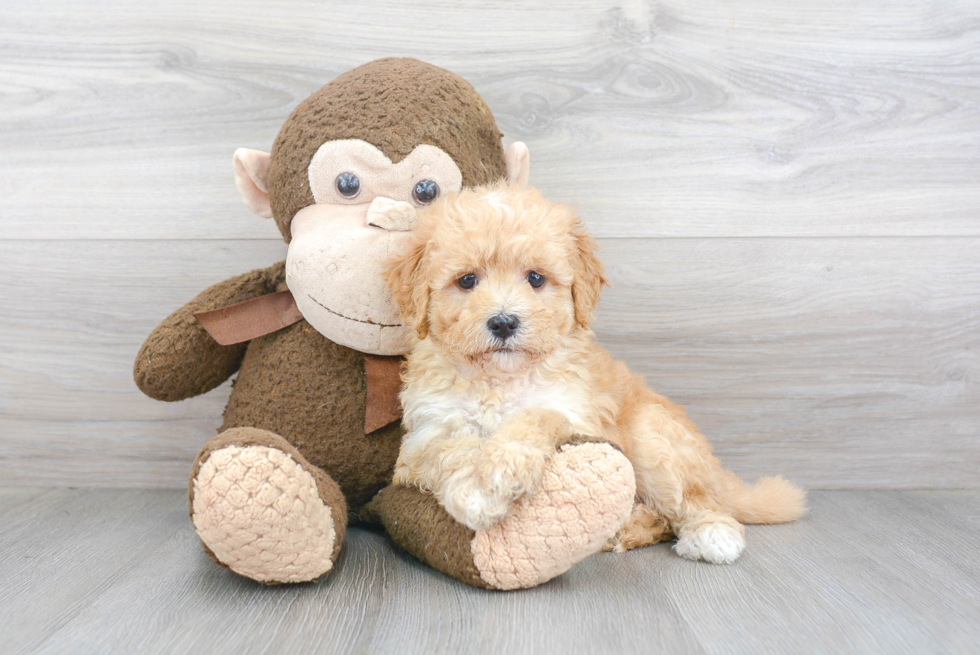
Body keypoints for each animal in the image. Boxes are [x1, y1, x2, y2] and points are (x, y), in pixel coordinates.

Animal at [382, 183, 804, 564]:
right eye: (467, 280)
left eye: (536, 278)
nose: (503, 322)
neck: (500, 380)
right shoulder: (422, 437)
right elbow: (452, 446)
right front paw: (476, 490)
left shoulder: (576, 416)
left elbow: (536, 416)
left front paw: (499, 470)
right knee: (660, 519)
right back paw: (622, 529)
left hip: (654, 440)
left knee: (693, 503)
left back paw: (710, 532)